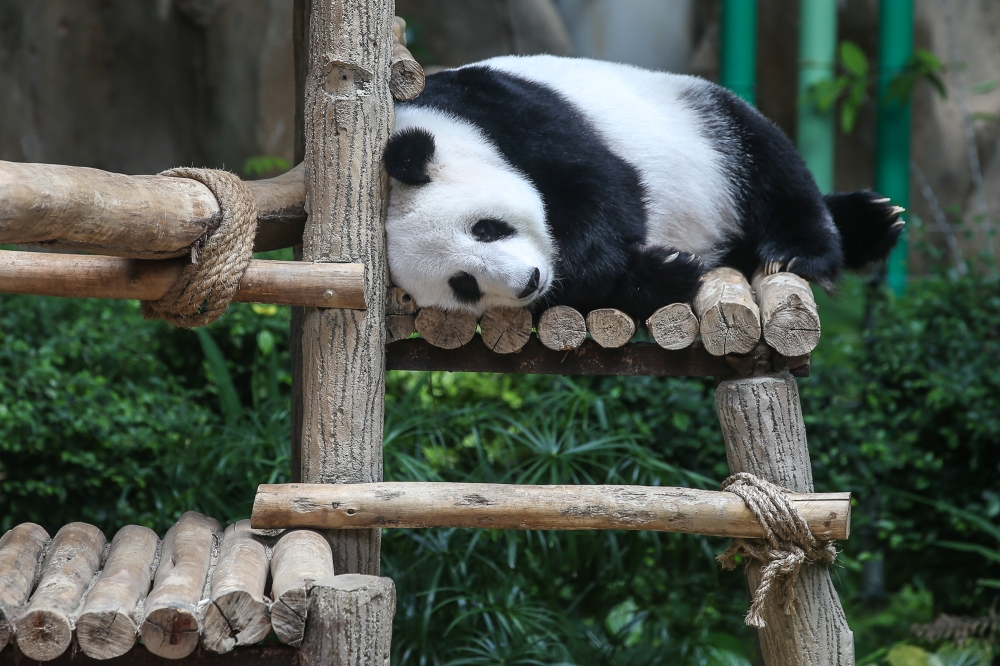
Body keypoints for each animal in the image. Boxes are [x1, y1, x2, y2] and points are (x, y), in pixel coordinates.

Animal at [382, 54, 908, 320]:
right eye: (463, 285)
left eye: (486, 229)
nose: (529, 281)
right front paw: (665, 270)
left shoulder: (512, 114)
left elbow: (605, 187)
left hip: (699, 119)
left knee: (769, 163)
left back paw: (822, 241)